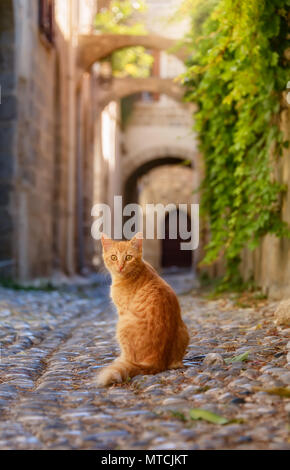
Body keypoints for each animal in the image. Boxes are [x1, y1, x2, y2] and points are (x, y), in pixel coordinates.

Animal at [96, 233, 189, 388]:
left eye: (128, 257)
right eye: (114, 257)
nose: (120, 266)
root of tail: (158, 361)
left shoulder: (122, 311)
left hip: (123, 324)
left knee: (129, 358)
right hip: (184, 330)